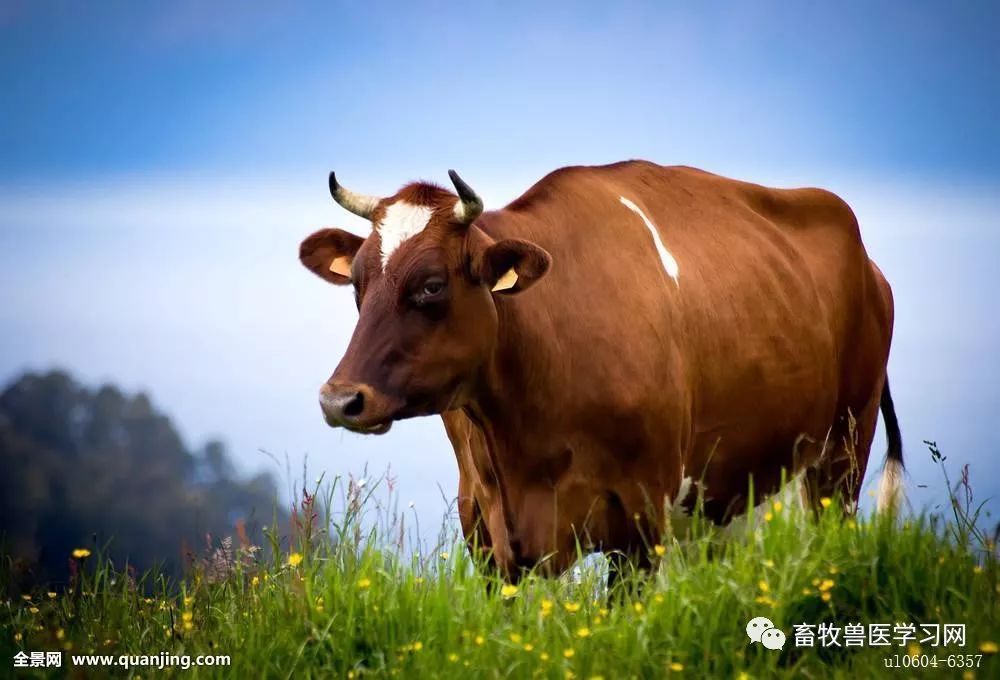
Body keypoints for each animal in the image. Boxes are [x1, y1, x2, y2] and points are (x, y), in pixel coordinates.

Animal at [300, 159, 904, 580]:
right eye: (357, 283)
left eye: (431, 285)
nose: (339, 400)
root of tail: (870, 264)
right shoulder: (487, 529)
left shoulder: (641, 517)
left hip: (841, 457)